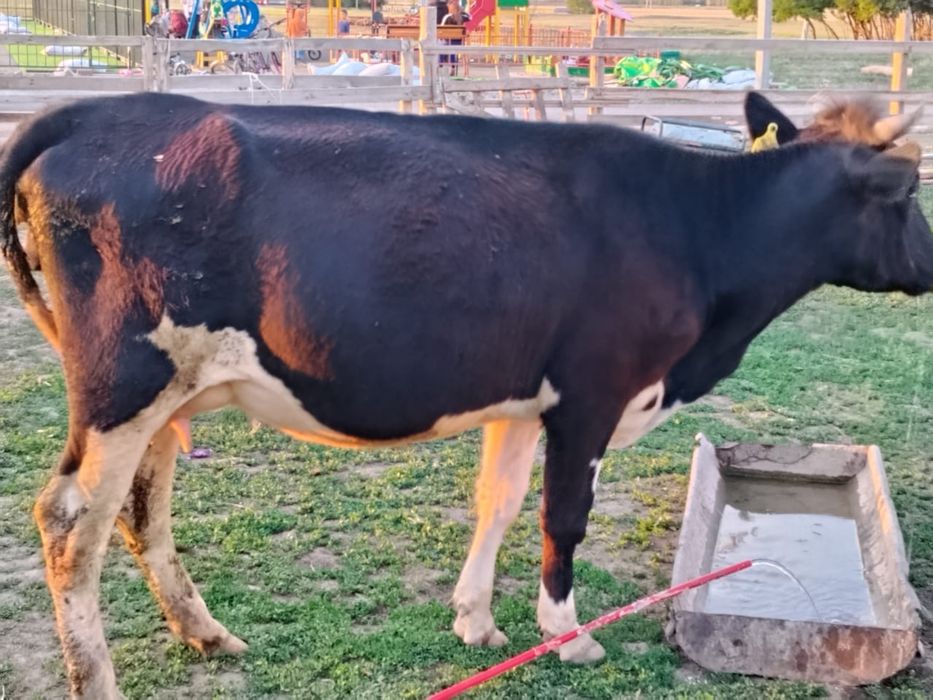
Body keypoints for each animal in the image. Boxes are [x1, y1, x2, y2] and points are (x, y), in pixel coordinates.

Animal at [0, 91, 930, 699]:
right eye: (906, 193)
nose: (928, 267)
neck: (696, 234)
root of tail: (98, 110)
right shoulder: (593, 394)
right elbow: (563, 517)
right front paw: (567, 635)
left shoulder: (523, 398)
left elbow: (500, 501)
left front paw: (476, 622)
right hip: (124, 383)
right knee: (70, 518)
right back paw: (98, 679)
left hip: (166, 394)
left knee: (139, 509)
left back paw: (204, 633)